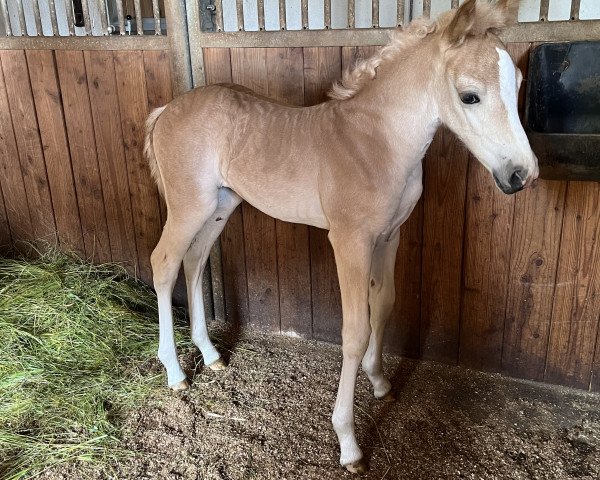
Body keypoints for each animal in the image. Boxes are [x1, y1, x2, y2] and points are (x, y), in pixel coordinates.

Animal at [145, 0, 540, 472]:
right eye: (469, 96)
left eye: (518, 84)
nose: (522, 175)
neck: (377, 143)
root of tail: (166, 109)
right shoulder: (349, 242)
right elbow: (354, 332)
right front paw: (349, 443)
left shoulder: (389, 237)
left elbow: (383, 305)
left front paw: (381, 383)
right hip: (188, 207)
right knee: (164, 264)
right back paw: (175, 373)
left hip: (220, 206)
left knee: (194, 261)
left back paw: (211, 355)